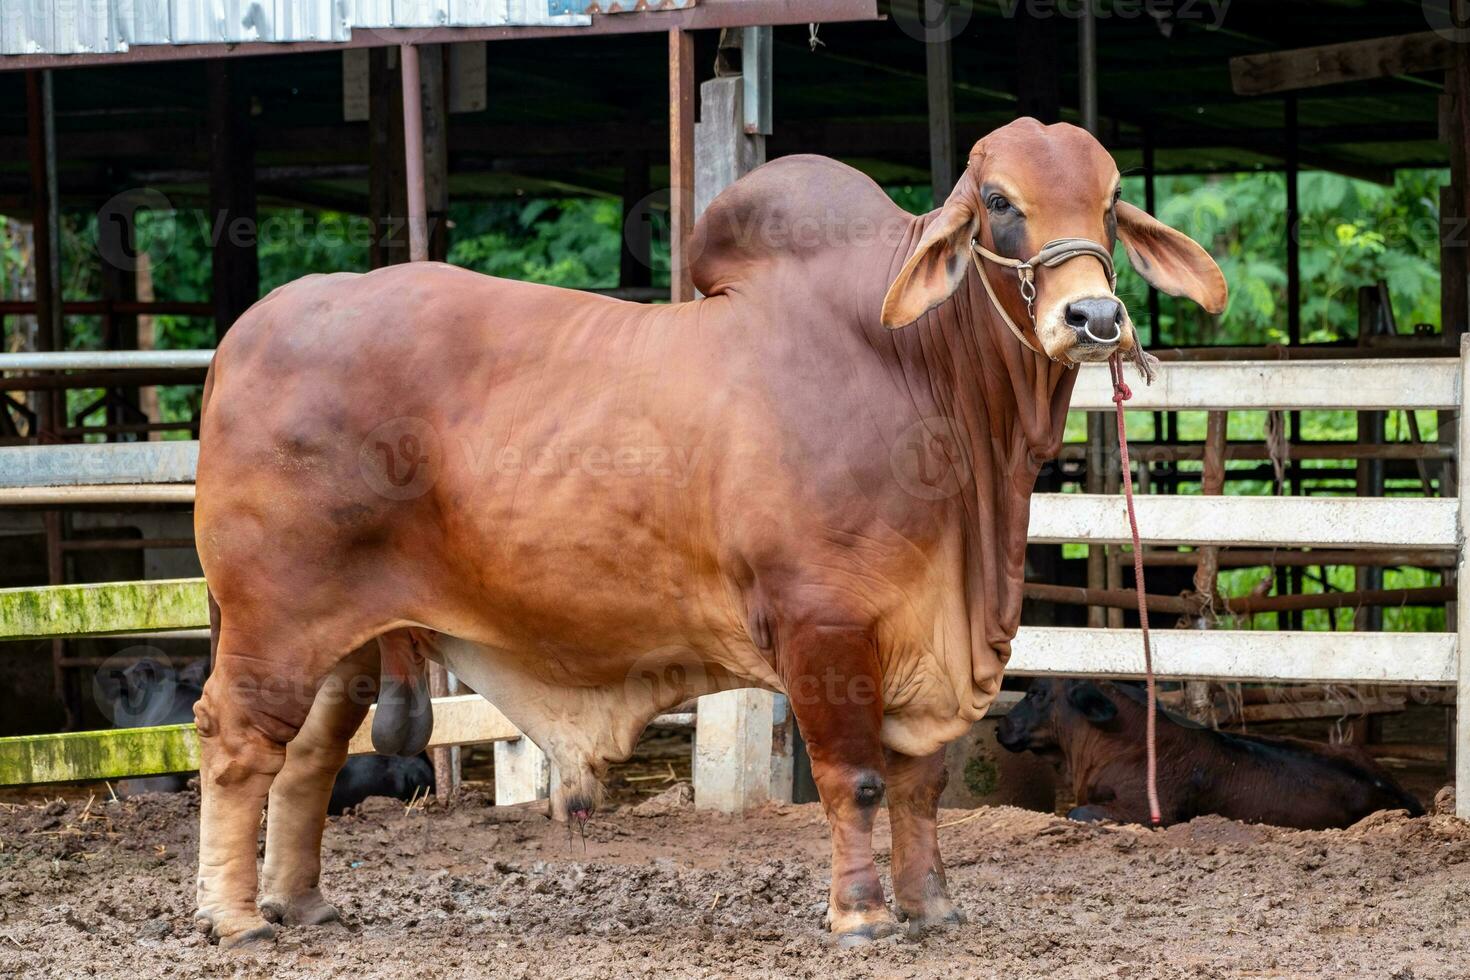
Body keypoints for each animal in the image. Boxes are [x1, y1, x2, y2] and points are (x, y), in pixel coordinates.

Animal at [190, 117, 1226, 947]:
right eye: (1001, 201)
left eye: (1111, 201)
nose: (1093, 315)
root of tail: (247, 331)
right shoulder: (825, 629)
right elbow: (858, 780)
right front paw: (862, 916)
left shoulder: (930, 640)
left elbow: (922, 786)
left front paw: (932, 907)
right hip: (272, 621)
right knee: (237, 743)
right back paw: (236, 919)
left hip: (344, 640)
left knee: (309, 756)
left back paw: (301, 903)